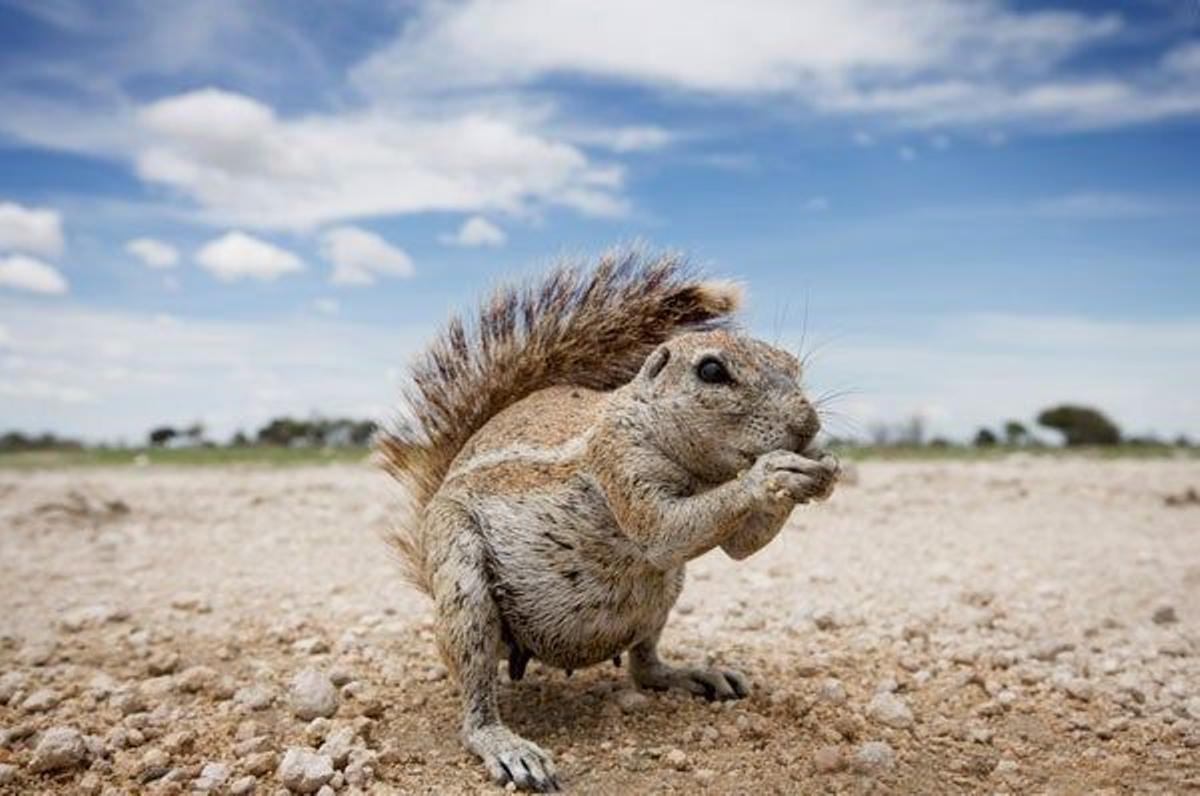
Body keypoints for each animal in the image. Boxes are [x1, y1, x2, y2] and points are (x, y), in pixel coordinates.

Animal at [379, 250, 840, 792]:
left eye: (793, 365)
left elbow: (741, 547)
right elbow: (662, 530)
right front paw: (776, 471)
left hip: (662, 597)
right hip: (462, 579)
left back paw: (690, 674)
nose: (808, 425)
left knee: (644, 668)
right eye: (711, 371)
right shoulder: (617, 460)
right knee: (475, 701)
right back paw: (506, 746)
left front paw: (821, 466)